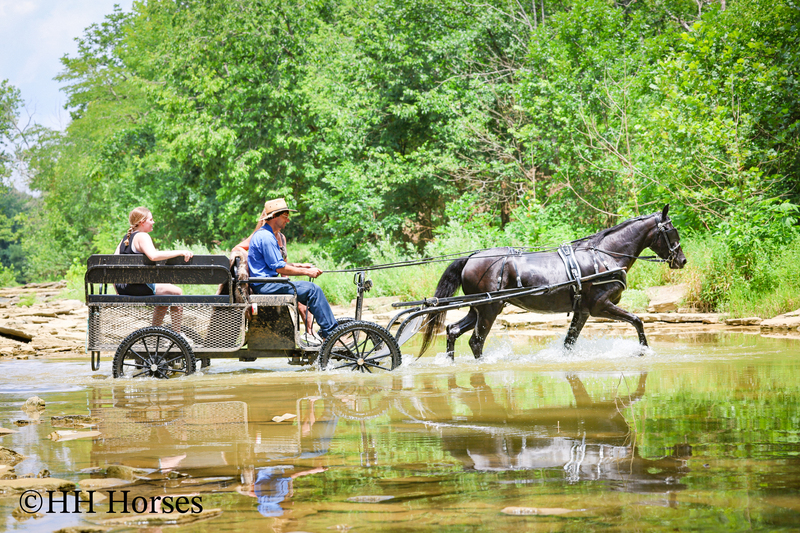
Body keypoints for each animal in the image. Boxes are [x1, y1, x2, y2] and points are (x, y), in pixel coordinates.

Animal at [419, 205, 687, 359]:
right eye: (671, 229)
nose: (682, 260)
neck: (605, 256)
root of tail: (471, 258)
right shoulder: (600, 306)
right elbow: (637, 320)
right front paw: (644, 350)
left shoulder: (583, 310)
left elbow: (569, 343)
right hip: (489, 309)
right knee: (476, 342)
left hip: (478, 308)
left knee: (453, 331)